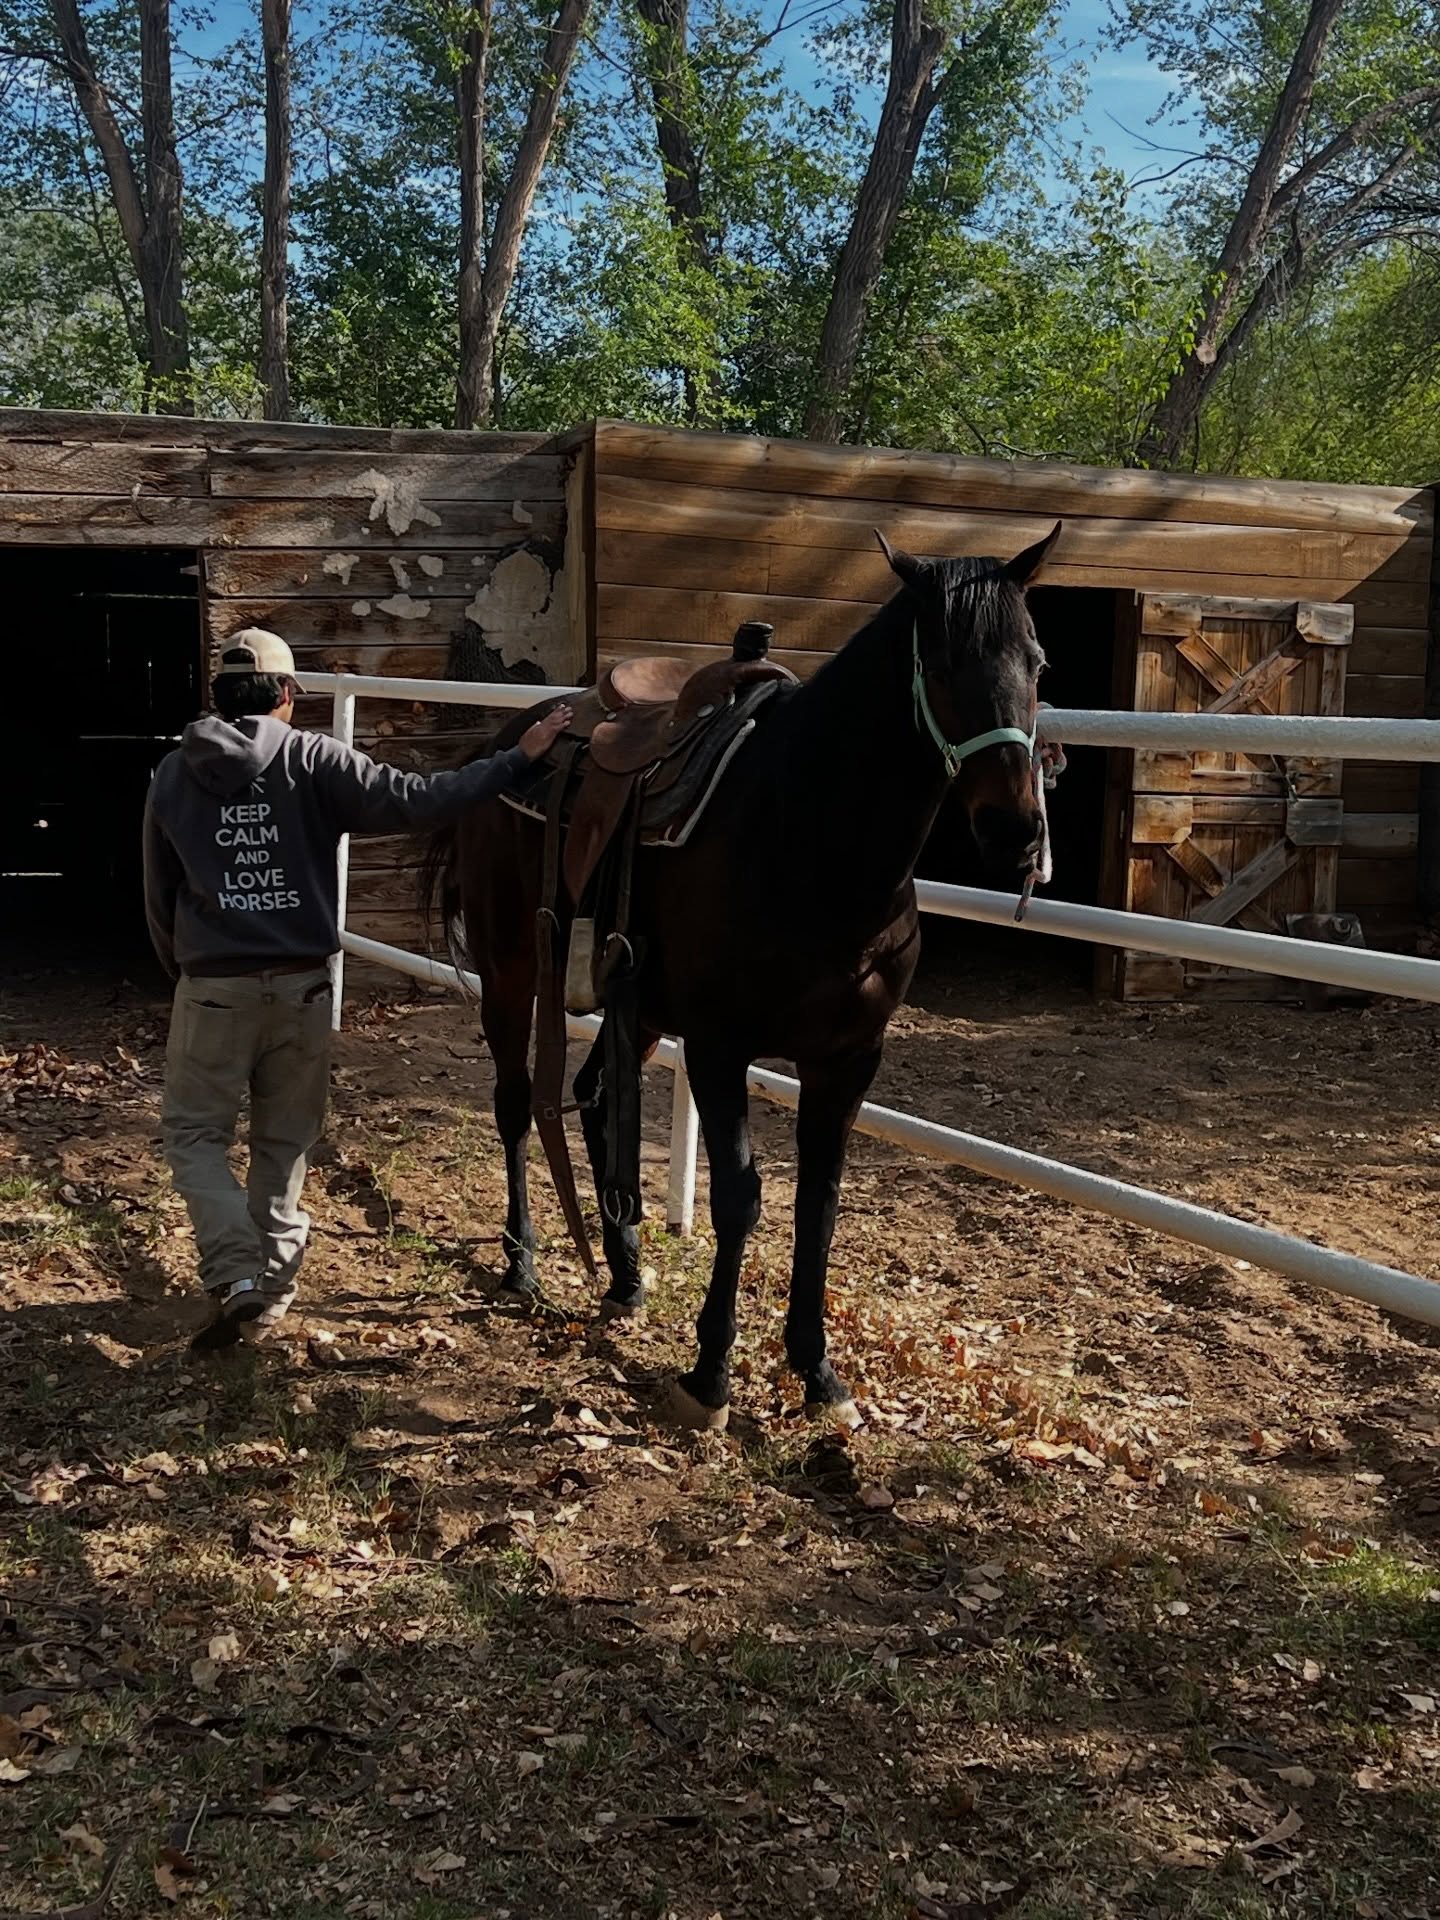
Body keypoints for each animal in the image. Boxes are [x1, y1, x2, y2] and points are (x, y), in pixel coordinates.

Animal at [422, 525, 1061, 1430]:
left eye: (1037, 662)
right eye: (940, 663)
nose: (1014, 830)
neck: (810, 841)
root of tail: (512, 739)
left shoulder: (847, 1060)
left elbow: (818, 1206)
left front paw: (818, 1369)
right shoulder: (720, 1048)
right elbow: (740, 1199)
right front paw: (710, 1373)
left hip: (637, 1007)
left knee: (595, 1099)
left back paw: (623, 1274)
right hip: (514, 974)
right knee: (517, 1103)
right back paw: (524, 1263)